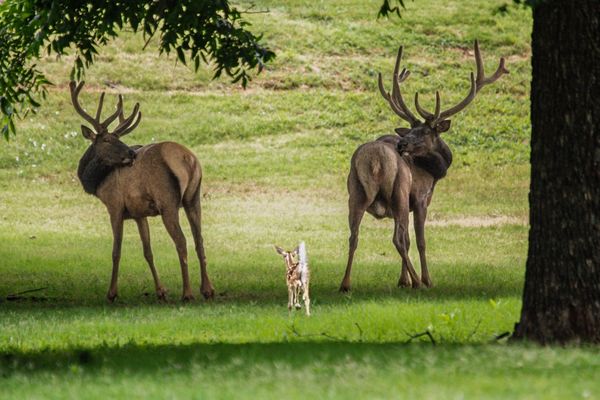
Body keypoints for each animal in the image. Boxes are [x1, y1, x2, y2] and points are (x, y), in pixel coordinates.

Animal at [70, 80, 216, 300]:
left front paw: (112, 293)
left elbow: (116, 251)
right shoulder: (139, 213)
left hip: (168, 201)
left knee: (181, 241)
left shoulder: (115, 206)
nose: (131, 153)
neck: (97, 183)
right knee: (199, 240)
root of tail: (188, 159)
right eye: (107, 140)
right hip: (193, 198)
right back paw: (207, 289)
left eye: (115, 138)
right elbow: (148, 251)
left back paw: (187, 292)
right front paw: (161, 291)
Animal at [340, 40, 508, 290]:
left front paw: (403, 281)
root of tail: (375, 159)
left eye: (425, 131)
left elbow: (409, 239)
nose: (402, 143)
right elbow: (419, 240)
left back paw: (345, 284)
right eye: (412, 130)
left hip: (356, 192)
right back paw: (420, 282)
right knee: (397, 239)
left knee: (354, 236)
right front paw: (426, 279)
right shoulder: (420, 198)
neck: (433, 173)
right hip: (399, 191)